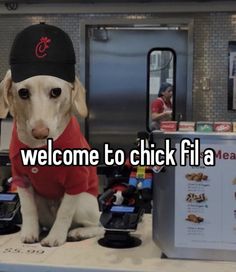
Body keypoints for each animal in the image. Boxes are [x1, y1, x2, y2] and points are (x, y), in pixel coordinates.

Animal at [0, 69, 100, 246]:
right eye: (23, 93)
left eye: (56, 92)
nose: (40, 133)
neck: (39, 146)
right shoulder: (22, 179)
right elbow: (28, 209)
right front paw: (29, 232)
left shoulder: (76, 181)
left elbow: (64, 213)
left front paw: (55, 237)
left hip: (83, 202)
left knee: (98, 226)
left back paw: (78, 232)